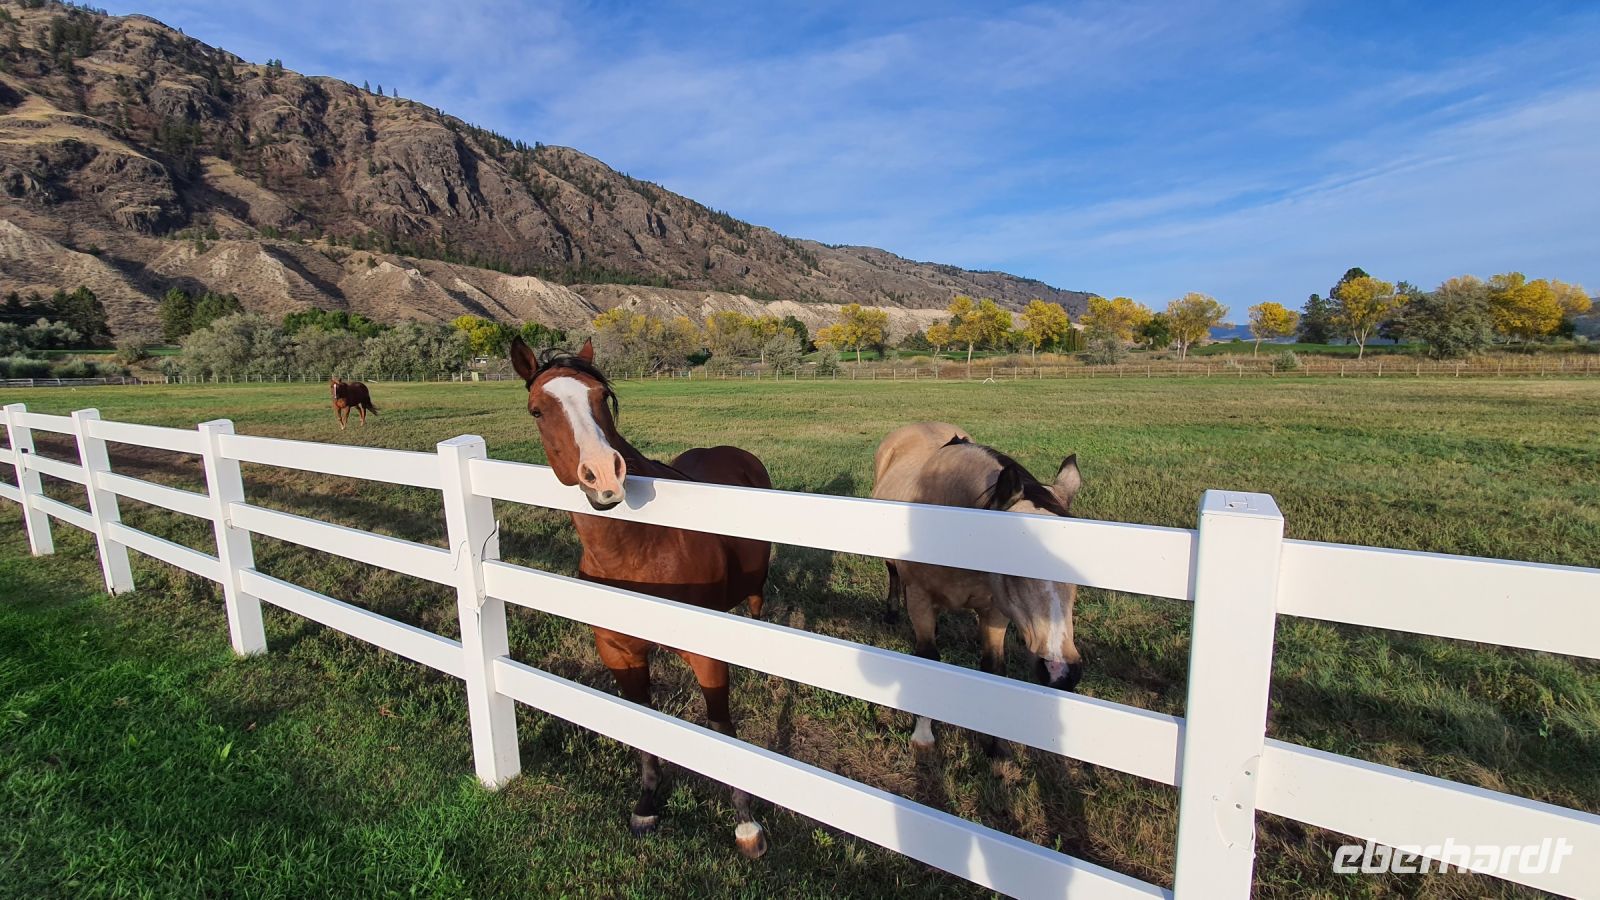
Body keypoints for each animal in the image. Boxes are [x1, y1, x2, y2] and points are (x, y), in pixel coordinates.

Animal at [508, 336, 774, 858]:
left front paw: (746, 824)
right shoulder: (618, 651)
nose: (604, 476)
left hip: (755, 587)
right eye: (537, 410)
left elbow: (722, 728)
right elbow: (642, 720)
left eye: (602, 398)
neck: (639, 547)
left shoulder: (706, 653)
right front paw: (648, 804)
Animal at [871, 421, 1083, 754]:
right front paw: (923, 735)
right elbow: (928, 658)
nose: (1060, 672)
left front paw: (996, 746)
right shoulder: (919, 598)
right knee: (893, 572)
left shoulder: (995, 611)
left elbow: (994, 668)